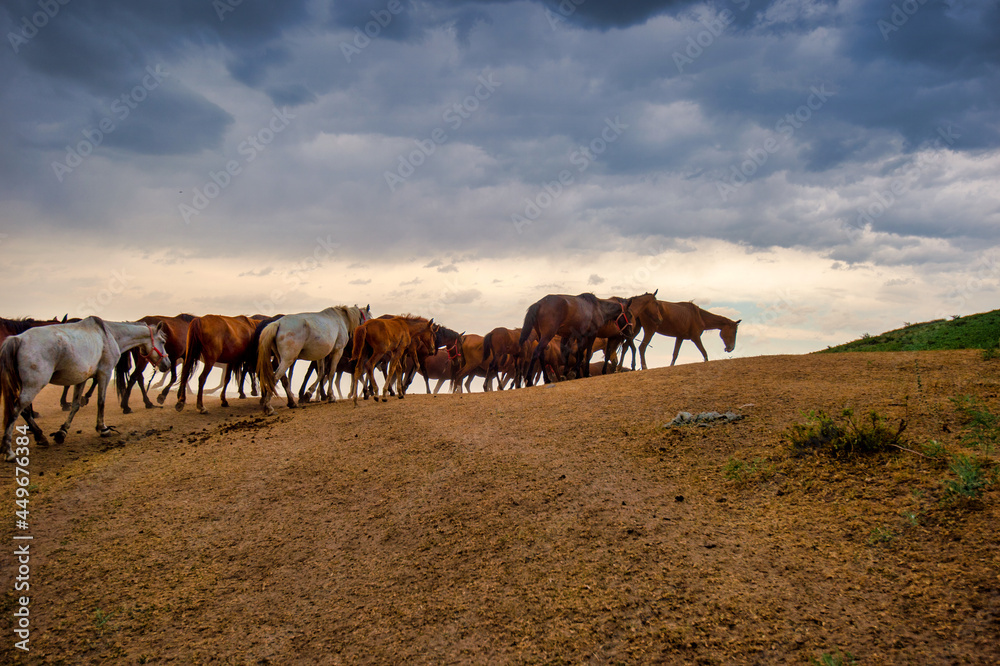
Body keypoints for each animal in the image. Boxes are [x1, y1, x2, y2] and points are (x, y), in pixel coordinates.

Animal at [0, 317, 169, 461]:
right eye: (162, 341)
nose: (167, 364)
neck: (110, 335)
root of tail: (18, 339)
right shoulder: (104, 373)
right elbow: (101, 402)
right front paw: (103, 428)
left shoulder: (81, 378)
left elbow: (75, 405)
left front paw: (62, 432)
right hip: (33, 386)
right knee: (17, 410)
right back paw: (9, 451)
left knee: (24, 411)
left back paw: (40, 437)